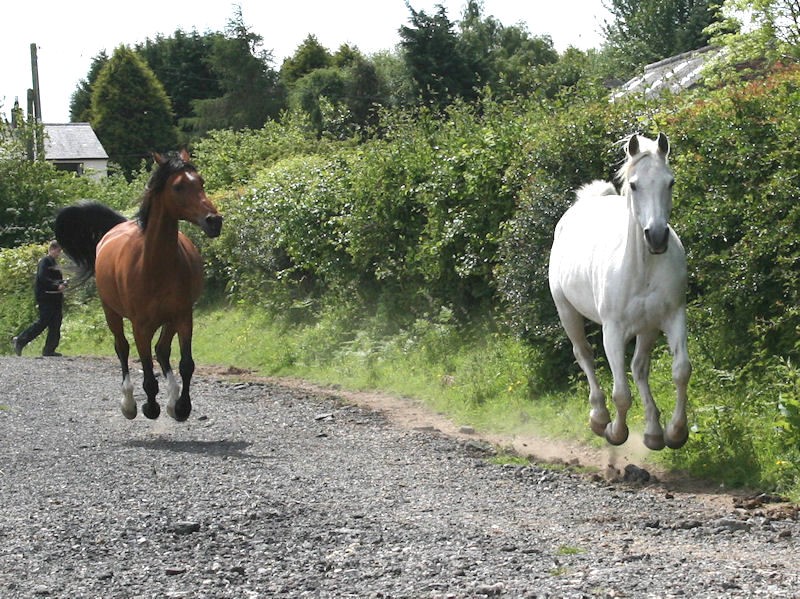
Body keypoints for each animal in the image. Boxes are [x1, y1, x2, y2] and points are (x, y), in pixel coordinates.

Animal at [55, 150, 222, 422]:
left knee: (162, 350)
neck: (154, 266)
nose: (214, 221)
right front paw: (150, 407)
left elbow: (186, 364)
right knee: (122, 348)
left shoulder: (183, 316)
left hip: (169, 319)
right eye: (178, 186)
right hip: (111, 312)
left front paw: (182, 407)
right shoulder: (140, 326)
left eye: (201, 182)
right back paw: (130, 403)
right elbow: (146, 371)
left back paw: (172, 399)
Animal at [548, 132, 692, 450]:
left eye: (670, 182)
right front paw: (615, 431)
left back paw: (653, 431)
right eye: (635, 185)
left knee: (639, 367)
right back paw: (599, 416)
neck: (642, 269)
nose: (657, 236)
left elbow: (681, 372)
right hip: (567, 311)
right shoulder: (612, 331)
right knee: (584, 354)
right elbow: (621, 394)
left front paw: (675, 432)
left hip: (647, 327)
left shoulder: (672, 317)